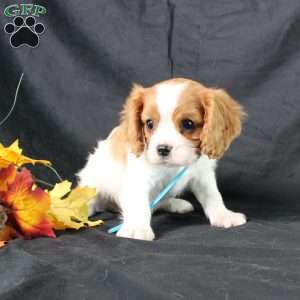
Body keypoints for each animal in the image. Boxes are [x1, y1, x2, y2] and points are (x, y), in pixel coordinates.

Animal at [77, 78, 246, 240]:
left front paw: (224, 215)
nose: (162, 149)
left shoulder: (202, 175)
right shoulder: (139, 178)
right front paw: (137, 229)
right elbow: (140, 205)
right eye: (149, 123)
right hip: (92, 184)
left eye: (188, 123)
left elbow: (213, 195)